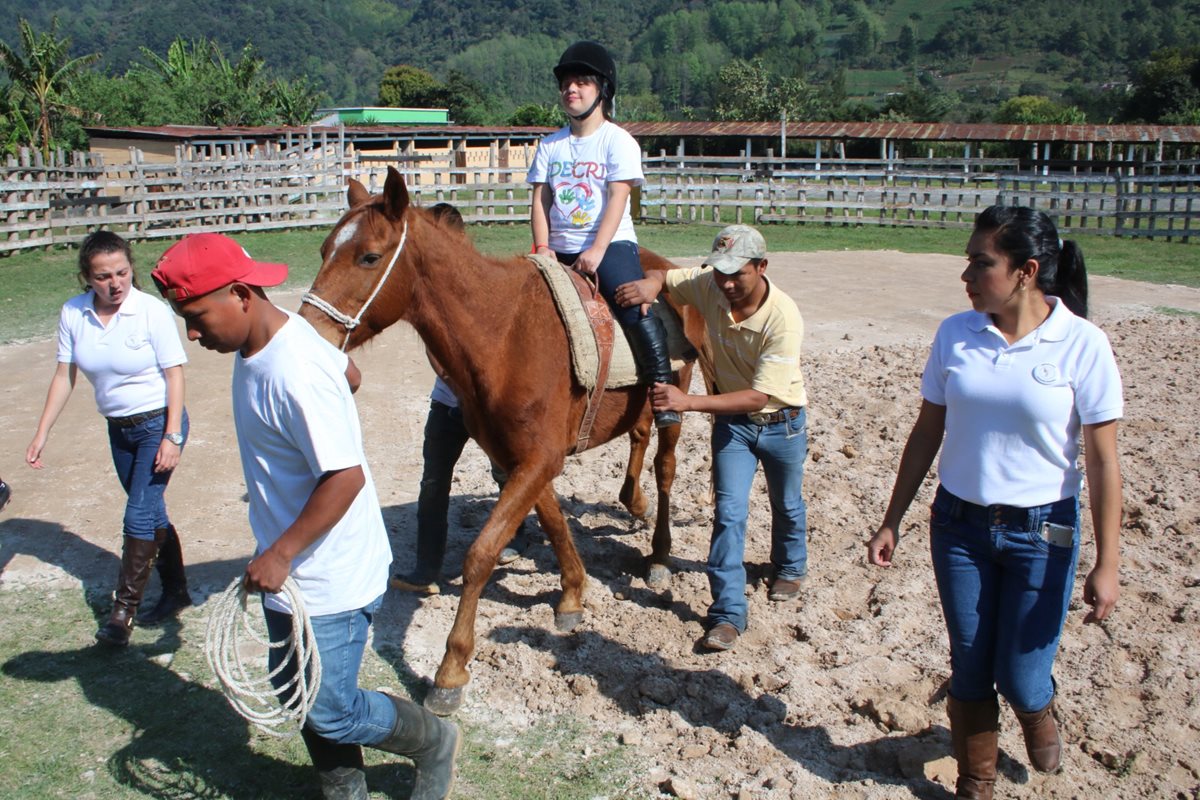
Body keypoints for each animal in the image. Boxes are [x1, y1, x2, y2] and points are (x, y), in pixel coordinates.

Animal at [302, 165, 710, 714]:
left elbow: (482, 552)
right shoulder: (521, 456)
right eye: (324, 250)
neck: (503, 334)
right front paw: (572, 593)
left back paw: (660, 556)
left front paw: (451, 670)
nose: (308, 332)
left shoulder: (539, 458)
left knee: (666, 469)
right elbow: (553, 520)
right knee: (639, 440)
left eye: (368, 256)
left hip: (676, 399)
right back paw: (634, 503)